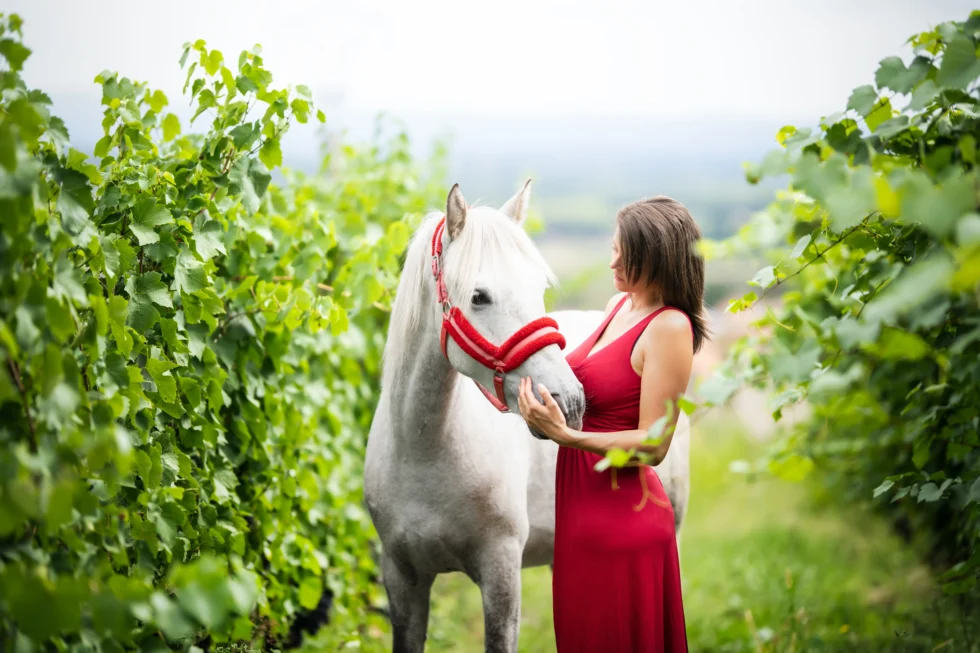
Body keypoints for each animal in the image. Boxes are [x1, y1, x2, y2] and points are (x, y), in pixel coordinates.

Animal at [364, 181, 690, 653]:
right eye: (479, 296)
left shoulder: (501, 573)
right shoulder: (401, 578)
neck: (422, 452)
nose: (568, 401)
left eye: (538, 287)